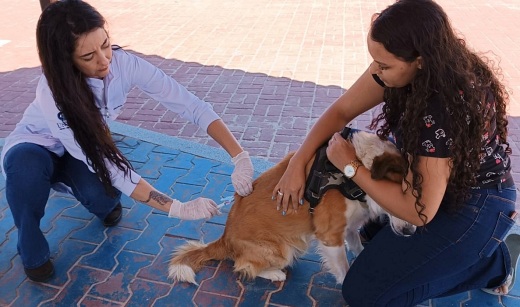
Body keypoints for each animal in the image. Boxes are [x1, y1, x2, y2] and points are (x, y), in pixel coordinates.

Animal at [169, 131, 416, 286]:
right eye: (404, 201)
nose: (410, 233)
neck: (354, 174)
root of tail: (224, 238)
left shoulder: (348, 228)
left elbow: (357, 247)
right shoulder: (330, 235)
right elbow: (344, 271)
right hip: (283, 250)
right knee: (242, 265)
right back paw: (274, 274)